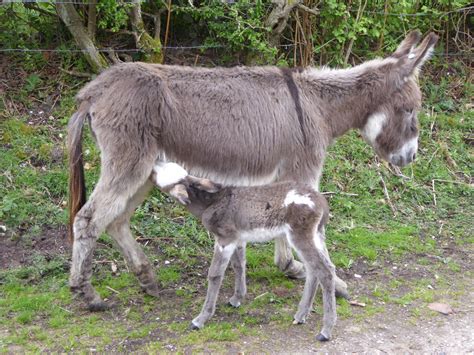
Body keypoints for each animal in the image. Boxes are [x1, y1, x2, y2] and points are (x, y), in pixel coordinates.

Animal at [152, 163, 336, 342]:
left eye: (159, 175)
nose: (154, 166)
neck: (211, 203)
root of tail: (322, 202)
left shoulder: (224, 239)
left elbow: (215, 275)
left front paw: (200, 319)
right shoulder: (237, 239)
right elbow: (239, 264)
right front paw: (236, 299)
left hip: (300, 235)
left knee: (325, 271)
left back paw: (325, 331)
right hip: (316, 235)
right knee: (318, 269)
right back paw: (300, 316)